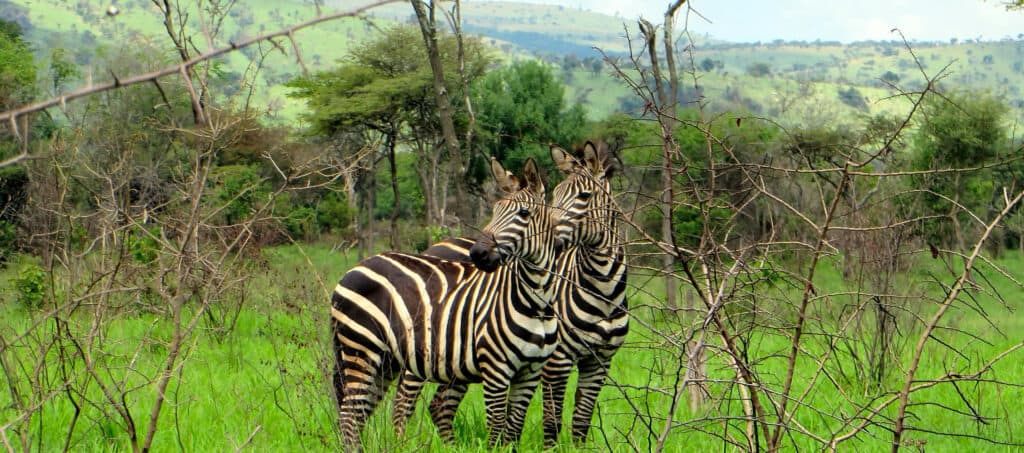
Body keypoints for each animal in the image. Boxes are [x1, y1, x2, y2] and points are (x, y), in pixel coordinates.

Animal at [329, 155, 585, 448]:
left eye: (523, 214)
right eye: (495, 210)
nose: (478, 254)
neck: (537, 302)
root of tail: (353, 269)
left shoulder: (530, 373)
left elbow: (512, 432)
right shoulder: (496, 370)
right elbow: (496, 432)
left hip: (384, 360)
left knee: (357, 414)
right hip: (361, 348)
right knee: (349, 415)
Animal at [391, 140, 626, 446]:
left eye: (585, 196)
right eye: (556, 195)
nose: (553, 241)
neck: (602, 289)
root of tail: (435, 246)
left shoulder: (600, 361)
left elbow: (581, 420)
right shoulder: (557, 360)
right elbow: (552, 420)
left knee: (440, 404)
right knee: (403, 403)